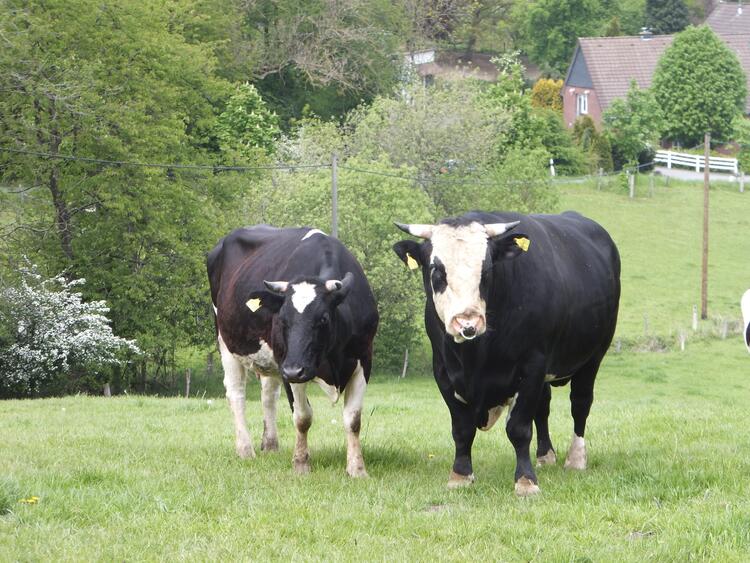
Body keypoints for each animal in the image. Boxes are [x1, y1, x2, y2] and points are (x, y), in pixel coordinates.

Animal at [207, 226, 378, 477]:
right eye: (282, 320)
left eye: (323, 318)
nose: (293, 370)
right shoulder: (287, 363)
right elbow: (302, 417)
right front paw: (300, 464)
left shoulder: (364, 358)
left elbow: (353, 419)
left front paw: (357, 469)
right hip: (227, 341)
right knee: (236, 393)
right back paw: (245, 449)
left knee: (268, 394)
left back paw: (270, 444)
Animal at [393, 211, 620, 496]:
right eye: (437, 270)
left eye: (487, 270)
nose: (467, 322)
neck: (474, 358)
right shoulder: (443, 371)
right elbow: (462, 429)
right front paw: (460, 475)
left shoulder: (532, 365)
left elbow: (519, 428)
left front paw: (526, 480)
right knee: (543, 406)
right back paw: (546, 455)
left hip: (593, 356)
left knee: (580, 404)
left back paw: (576, 459)